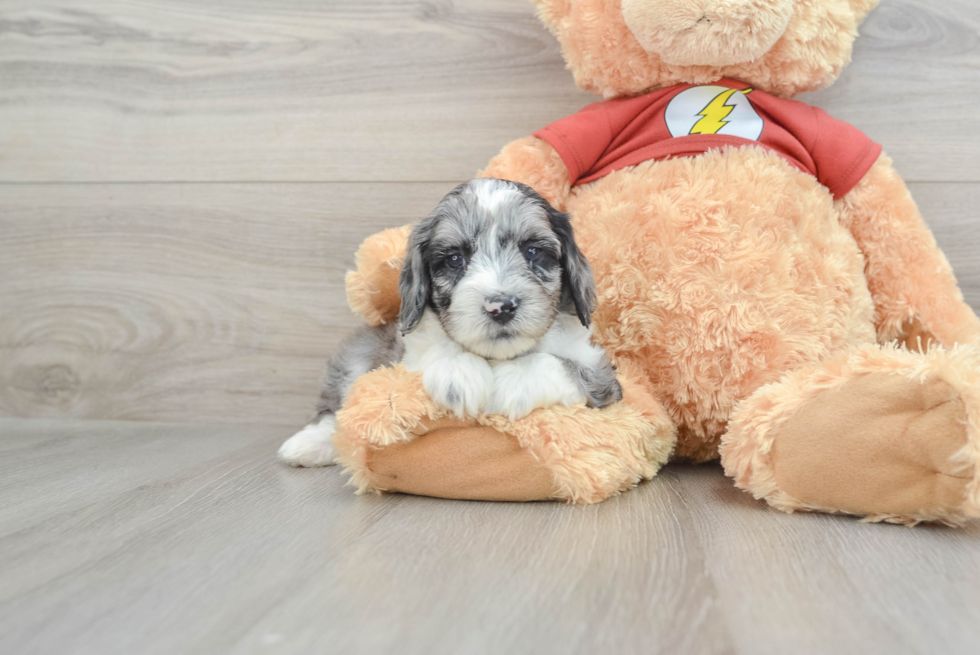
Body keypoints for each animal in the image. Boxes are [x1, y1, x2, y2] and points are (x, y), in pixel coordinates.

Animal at [278, 177, 620, 468]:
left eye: (533, 251)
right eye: (455, 259)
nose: (500, 306)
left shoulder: (601, 373)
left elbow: (560, 364)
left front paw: (510, 383)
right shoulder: (404, 355)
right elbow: (439, 347)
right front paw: (458, 374)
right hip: (355, 356)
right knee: (334, 410)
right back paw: (308, 444)